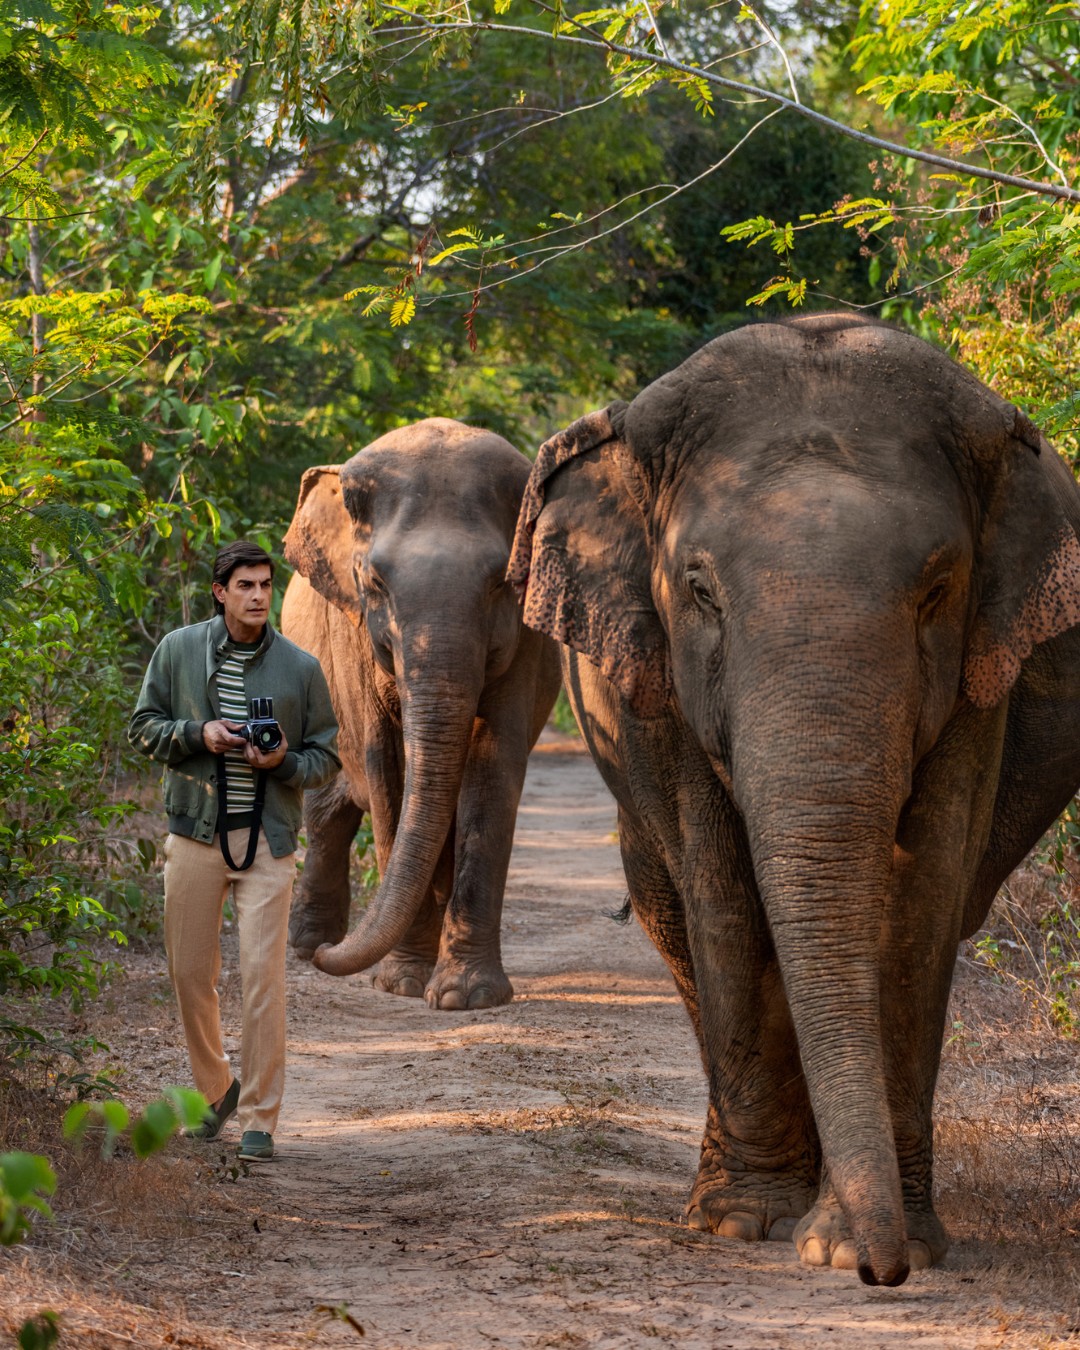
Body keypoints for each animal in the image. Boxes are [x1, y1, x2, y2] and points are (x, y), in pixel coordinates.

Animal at [282, 417, 561, 1010]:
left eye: (503, 583)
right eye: (375, 584)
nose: (329, 959)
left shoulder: (524, 646)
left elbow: (493, 767)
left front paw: (463, 996)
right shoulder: (353, 640)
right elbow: (386, 770)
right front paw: (402, 983)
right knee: (328, 813)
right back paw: (309, 944)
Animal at [506, 314, 1080, 1286]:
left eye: (938, 591)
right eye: (699, 590)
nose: (879, 1277)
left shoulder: (979, 683)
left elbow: (922, 894)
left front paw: (876, 1240)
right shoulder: (662, 688)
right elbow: (727, 894)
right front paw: (751, 1225)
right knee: (679, 921)